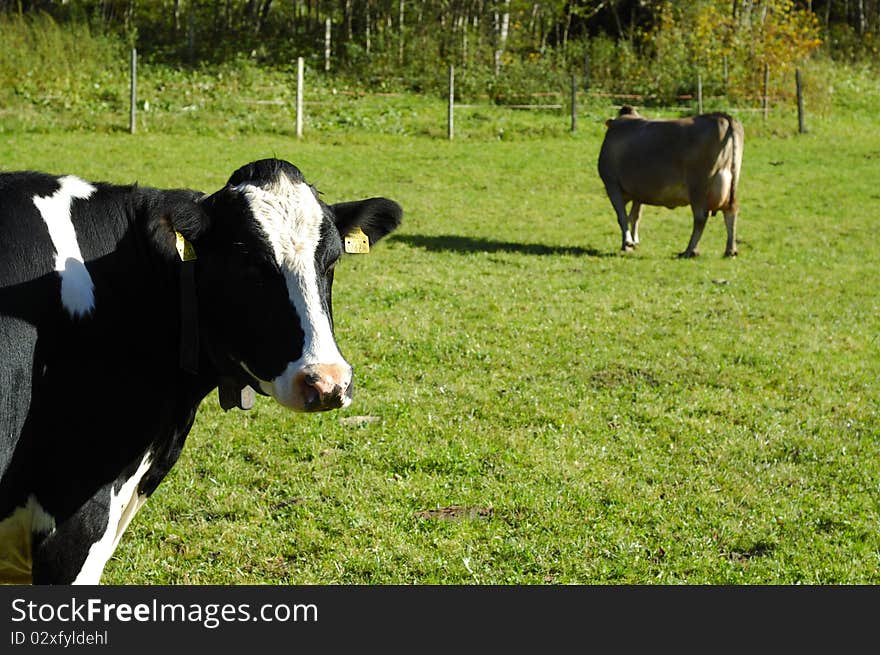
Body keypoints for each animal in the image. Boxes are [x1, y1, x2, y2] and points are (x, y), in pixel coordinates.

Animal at [600, 106, 744, 258]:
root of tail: (720, 116)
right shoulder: (638, 192)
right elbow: (635, 216)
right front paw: (634, 242)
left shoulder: (612, 184)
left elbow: (622, 216)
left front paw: (627, 244)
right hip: (729, 183)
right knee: (730, 211)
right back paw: (730, 250)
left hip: (698, 186)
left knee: (700, 217)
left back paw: (690, 250)